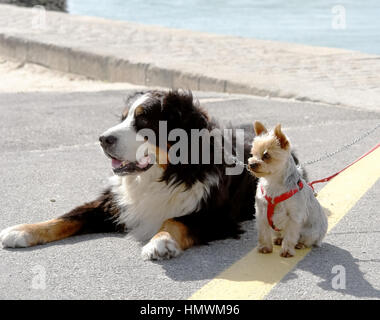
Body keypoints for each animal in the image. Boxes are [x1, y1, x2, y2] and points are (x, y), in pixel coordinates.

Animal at [248, 121, 328, 258]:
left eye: (266, 155)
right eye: (252, 154)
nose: (251, 164)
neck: (273, 182)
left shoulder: (294, 217)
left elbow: (290, 236)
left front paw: (287, 251)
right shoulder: (261, 213)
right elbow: (263, 232)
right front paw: (265, 247)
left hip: (311, 232)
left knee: (306, 240)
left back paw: (300, 244)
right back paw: (278, 239)